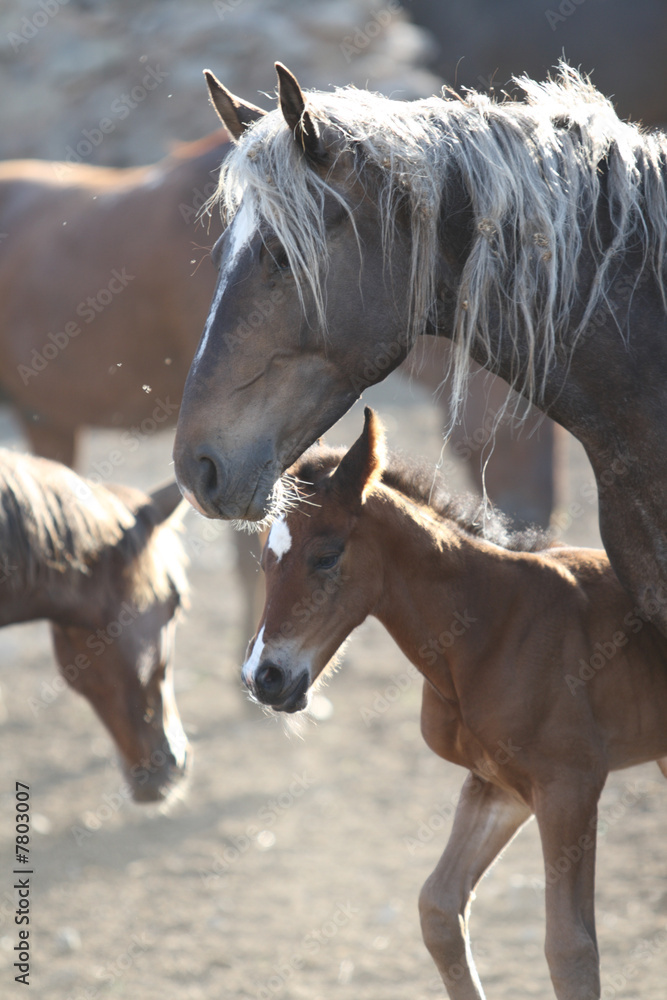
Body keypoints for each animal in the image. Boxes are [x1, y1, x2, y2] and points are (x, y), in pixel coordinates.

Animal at [241, 407, 667, 1000]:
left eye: (326, 556)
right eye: (264, 559)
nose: (264, 678)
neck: (488, 626)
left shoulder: (570, 784)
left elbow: (571, 950)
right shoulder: (499, 784)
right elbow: (439, 910)